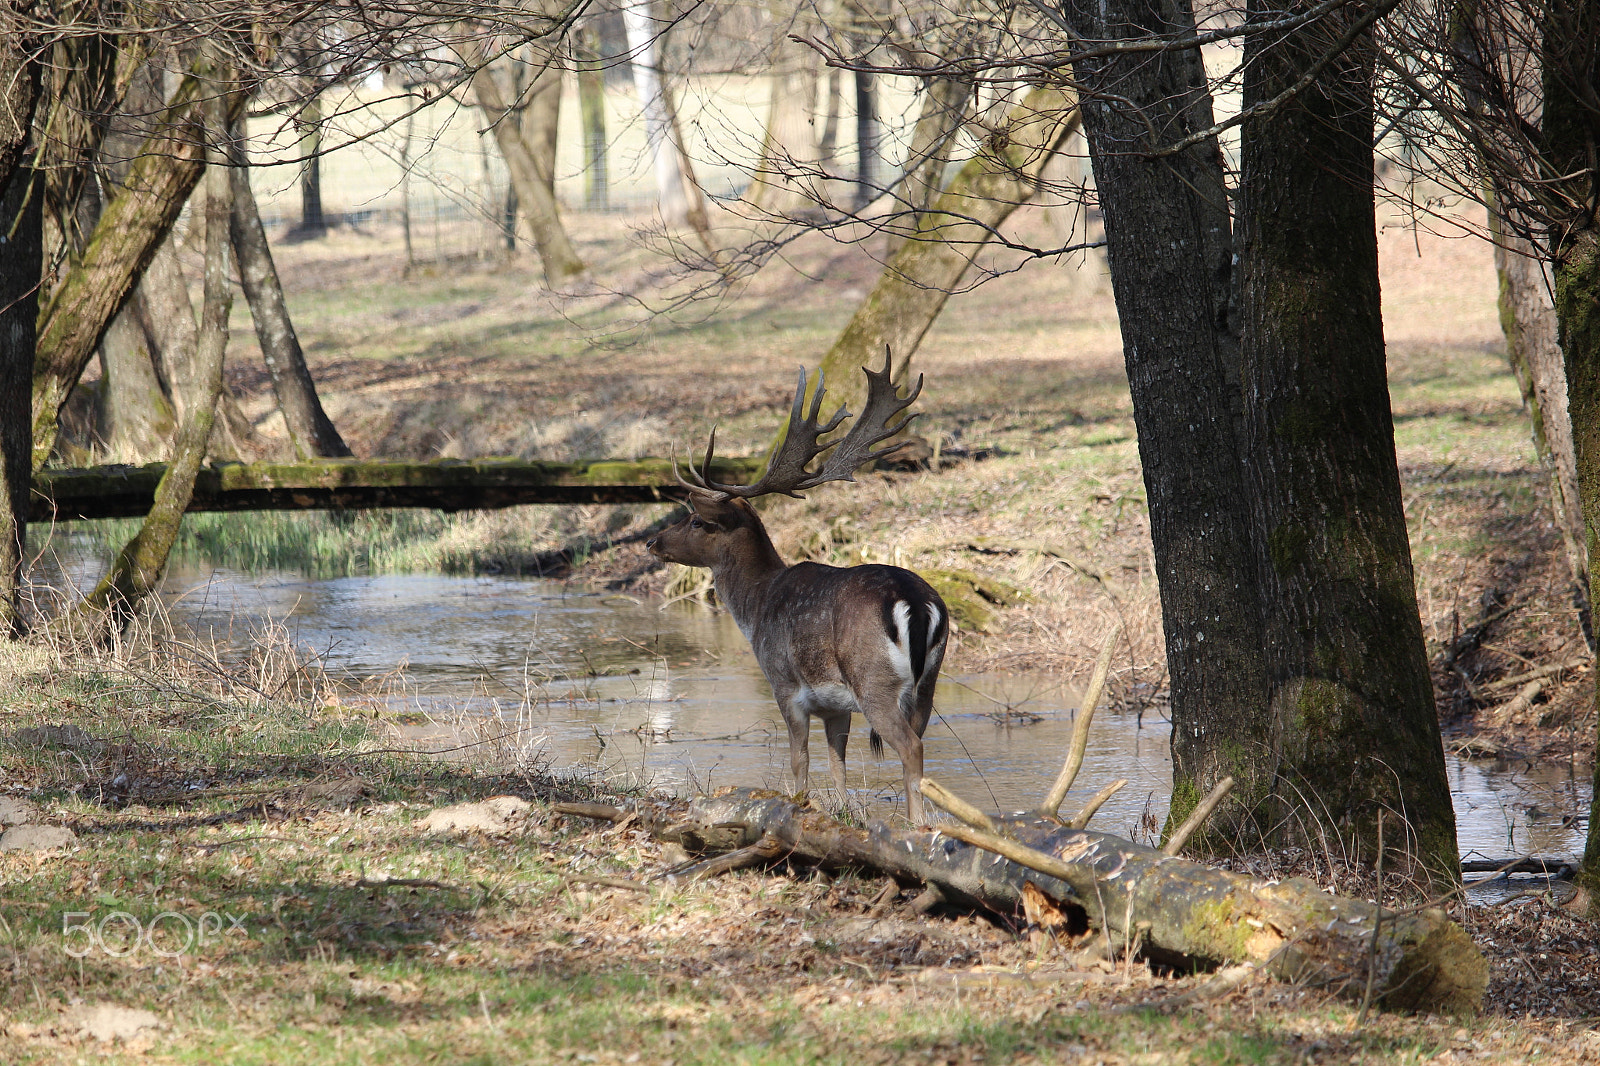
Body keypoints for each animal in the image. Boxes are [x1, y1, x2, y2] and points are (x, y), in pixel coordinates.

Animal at [645, 352, 947, 824]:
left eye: (696, 521)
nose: (652, 542)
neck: (756, 605)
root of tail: (916, 603)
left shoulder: (784, 684)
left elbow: (798, 760)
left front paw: (797, 806)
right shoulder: (836, 708)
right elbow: (838, 766)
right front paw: (844, 814)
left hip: (874, 681)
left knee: (910, 748)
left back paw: (916, 824)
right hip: (928, 683)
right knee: (918, 741)